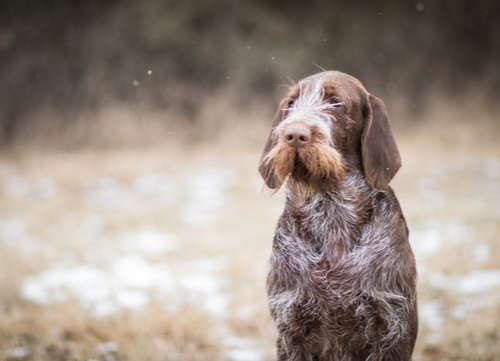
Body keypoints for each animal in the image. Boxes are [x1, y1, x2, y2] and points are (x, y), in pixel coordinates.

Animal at [258, 71, 418, 360]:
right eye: (291, 103)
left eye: (335, 102)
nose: (294, 134)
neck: (331, 209)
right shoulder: (291, 328)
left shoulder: (393, 328)